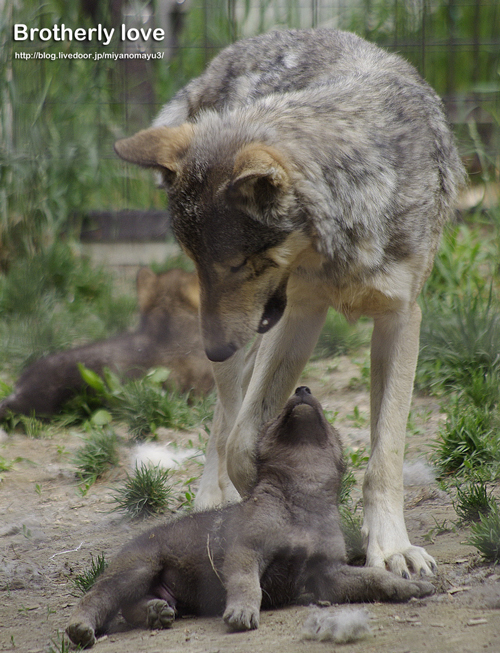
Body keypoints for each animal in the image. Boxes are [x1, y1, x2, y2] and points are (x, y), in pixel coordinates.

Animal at [66, 388, 434, 648]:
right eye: (275, 415)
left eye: (327, 419)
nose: (302, 388)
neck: (301, 504)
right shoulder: (246, 552)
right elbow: (247, 585)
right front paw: (241, 613)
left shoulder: (329, 573)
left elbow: (376, 579)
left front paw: (410, 586)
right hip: (137, 568)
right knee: (97, 597)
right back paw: (81, 628)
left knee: (130, 607)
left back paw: (156, 612)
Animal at [113, 26, 464, 576]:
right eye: (197, 261)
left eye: (238, 263)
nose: (213, 348)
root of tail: (233, 52)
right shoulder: (299, 315)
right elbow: (243, 445)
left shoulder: (401, 317)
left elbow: (385, 455)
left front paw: (392, 550)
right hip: (247, 344)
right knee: (224, 421)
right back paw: (210, 500)